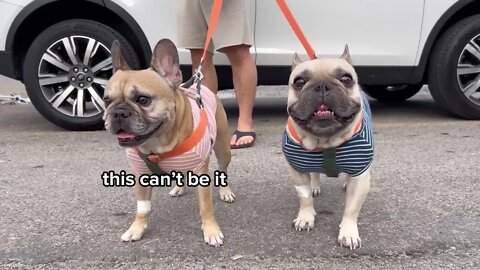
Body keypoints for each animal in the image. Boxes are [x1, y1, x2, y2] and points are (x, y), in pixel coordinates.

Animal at [103, 38, 234, 247]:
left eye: (143, 99)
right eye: (107, 100)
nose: (118, 113)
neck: (157, 145)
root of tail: (204, 87)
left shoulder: (201, 172)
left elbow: (206, 206)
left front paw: (211, 231)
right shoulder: (140, 174)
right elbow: (142, 208)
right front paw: (136, 229)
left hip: (223, 148)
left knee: (223, 169)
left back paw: (225, 191)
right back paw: (179, 187)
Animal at [284, 46, 374, 249]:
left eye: (346, 79)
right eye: (299, 82)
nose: (322, 85)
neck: (325, 140)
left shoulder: (360, 174)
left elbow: (352, 208)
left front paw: (348, 233)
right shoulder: (298, 169)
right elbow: (305, 197)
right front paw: (305, 218)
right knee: (315, 173)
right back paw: (315, 185)